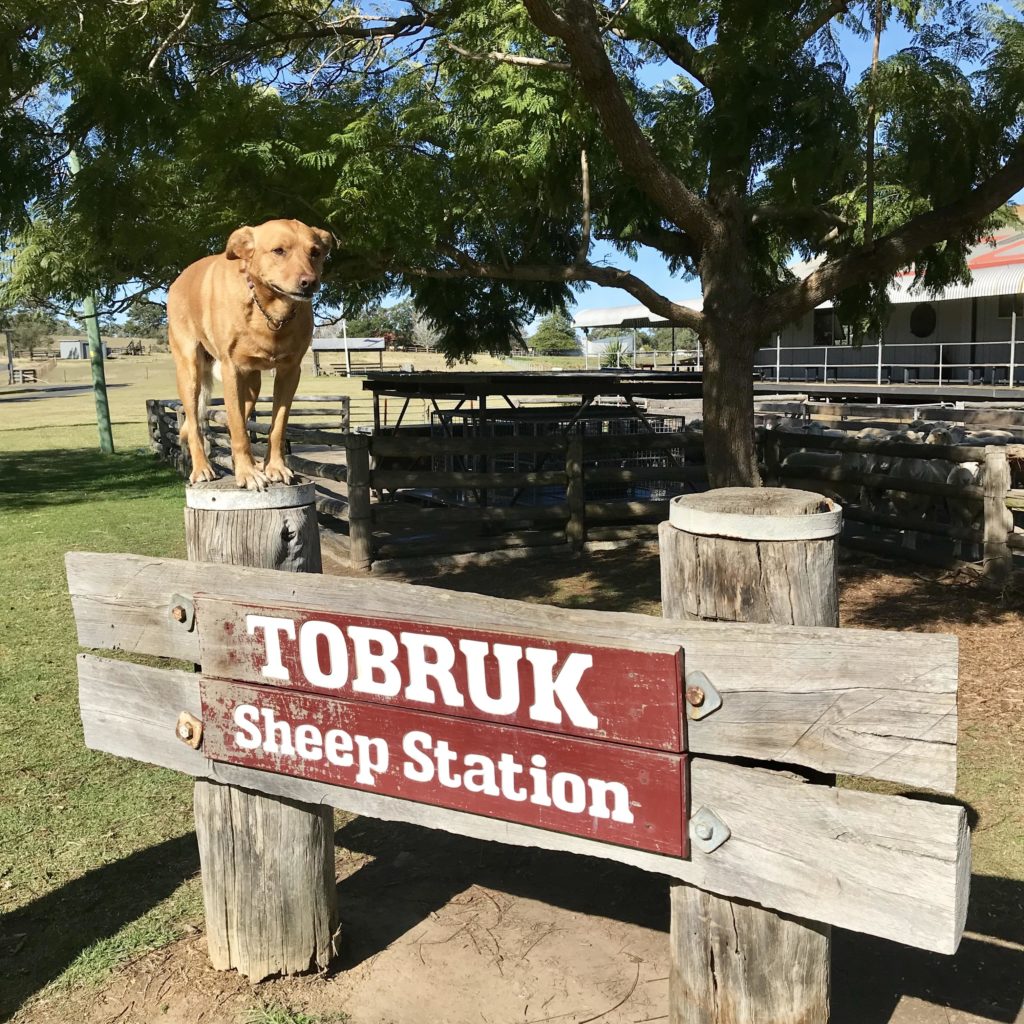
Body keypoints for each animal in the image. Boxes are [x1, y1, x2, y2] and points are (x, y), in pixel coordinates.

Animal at [168, 218, 331, 489]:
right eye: (278, 251)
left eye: (315, 252)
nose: (309, 282)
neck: (270, 312)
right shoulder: (231, 370)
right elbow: (237, 430)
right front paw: (247, 473)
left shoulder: (289, 372)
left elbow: (276, 426)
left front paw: (274, 467)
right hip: (190, 371)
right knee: (195, 425)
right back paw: (202, 468)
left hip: (252, 384)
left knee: (239, 417)